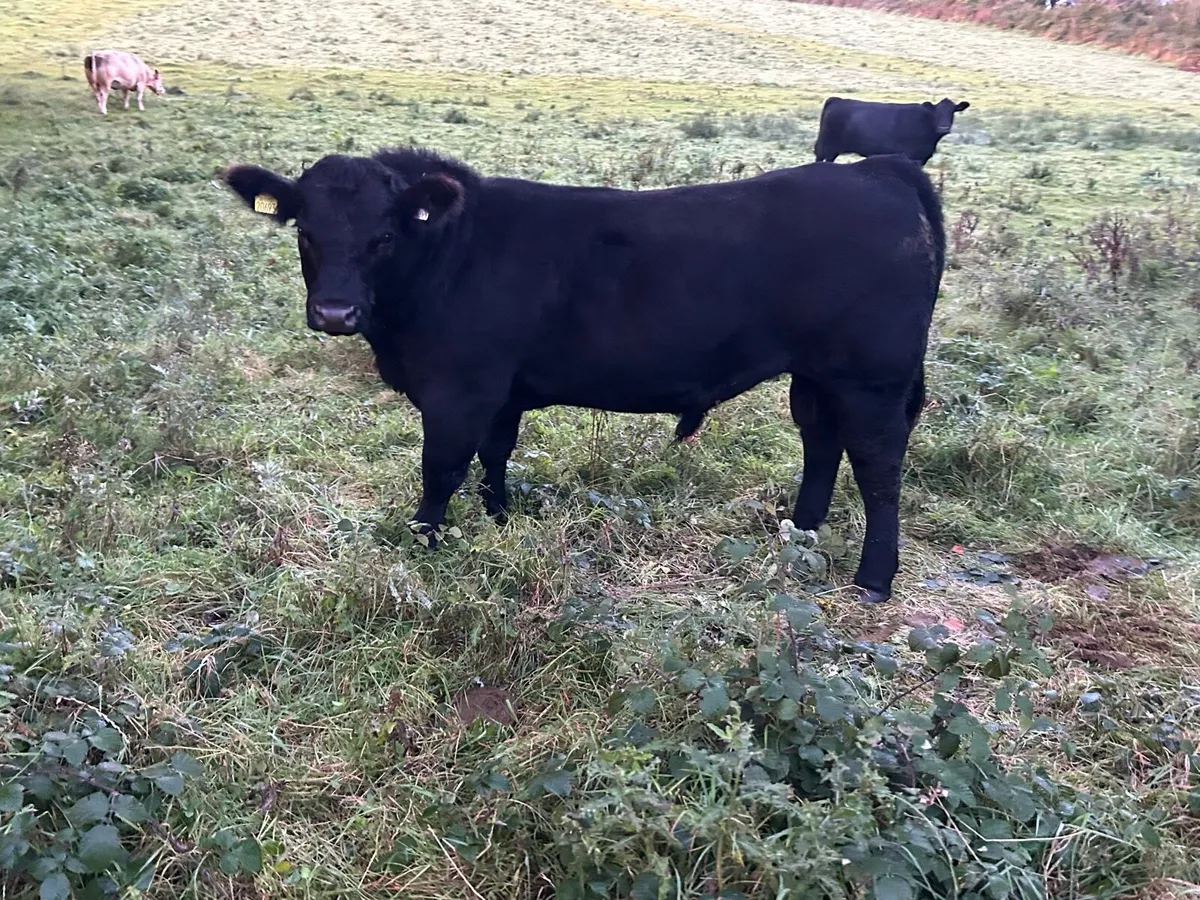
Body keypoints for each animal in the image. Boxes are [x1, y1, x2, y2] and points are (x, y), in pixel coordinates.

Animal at [221, 147, 945, 604]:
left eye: (384, 236)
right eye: (305, 233)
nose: (335, 312)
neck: (453, 255)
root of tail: (881, 171)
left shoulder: (460, 389)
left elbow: (442, 468)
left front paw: (423, 542)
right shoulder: (503, 393)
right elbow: (496, 456)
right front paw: (500, 521)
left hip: (872, 379)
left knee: (879, 468)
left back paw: (873, 579)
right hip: (817, 374)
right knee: (822, 443)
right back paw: (799, 534)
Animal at [814, 97, 971, 166]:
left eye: (952, 112)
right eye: (937, 112)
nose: (944, 127)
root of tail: (836, 99)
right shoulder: (912, 156)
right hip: (828, 145)